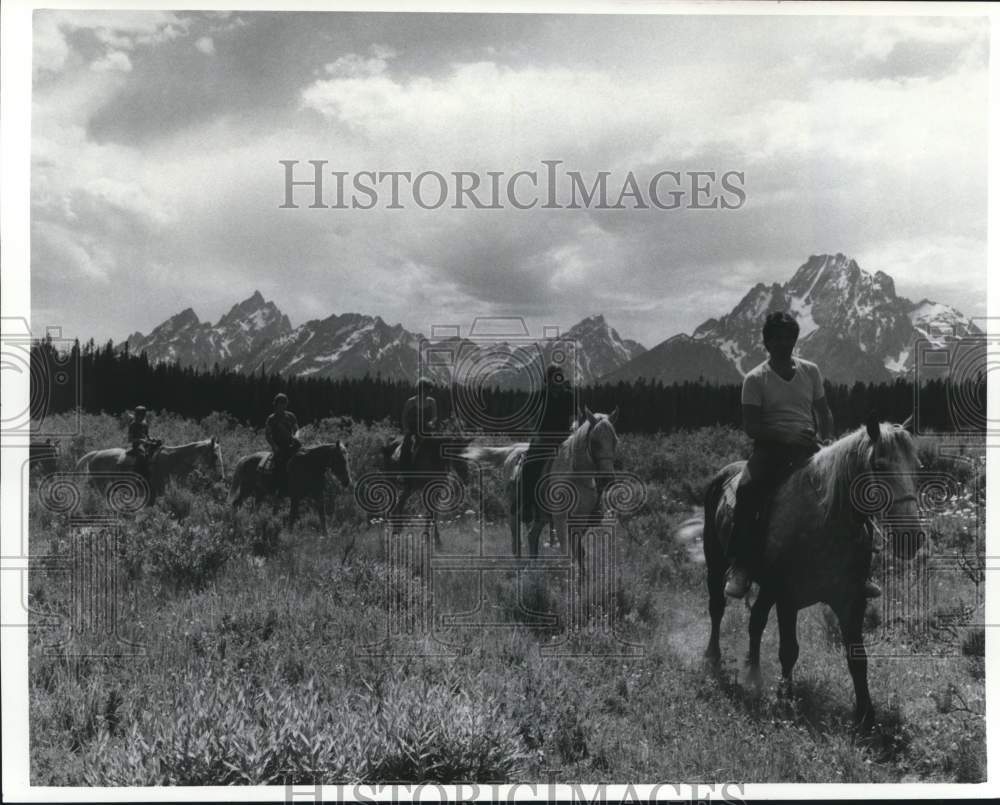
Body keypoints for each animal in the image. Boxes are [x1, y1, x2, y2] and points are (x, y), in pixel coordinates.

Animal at [466, 406, 616, 564]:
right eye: (595, 442)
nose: (607, 479)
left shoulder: (580, 519)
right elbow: (567, 553)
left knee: (532, 536)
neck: (576, 474)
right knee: (516, 544)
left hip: (541, 517)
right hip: (513, 514)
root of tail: (513, 450)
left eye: (615, 441)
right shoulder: (560, 519)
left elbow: (580, 553)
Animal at [700, 414, 924, 728]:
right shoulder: (787, 598)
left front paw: (865, 715)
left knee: (756, 620)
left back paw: (753, 674)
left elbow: (857, 656)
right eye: (879, 465)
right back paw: (713, 658)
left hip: (766, 588)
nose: (911, 538)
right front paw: (785, 700)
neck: (825, 521)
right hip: (717, 563)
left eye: (917, 467)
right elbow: (788, 650)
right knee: (717, 608)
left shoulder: (851, 600)